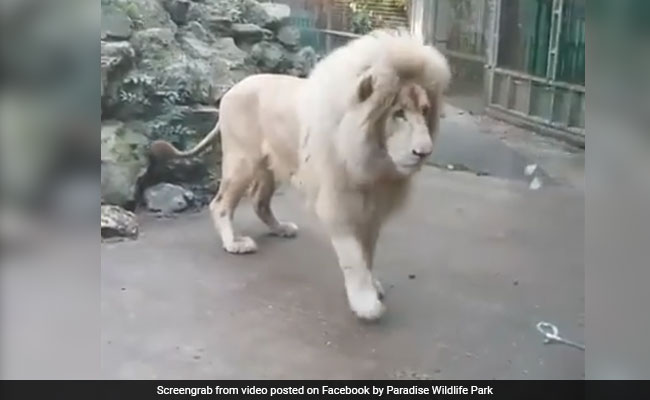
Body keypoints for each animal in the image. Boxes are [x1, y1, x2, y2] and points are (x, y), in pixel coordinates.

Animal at [149, 29, 448, 320]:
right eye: (398, 113)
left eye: (425, 111)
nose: (424, 152)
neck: (374, 160)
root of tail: (233, 88)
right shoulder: (338, 203)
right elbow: (353, 256)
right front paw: (365, 303)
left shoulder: (372, 207)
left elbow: (367, 253)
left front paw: (372, 286)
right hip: (243, 161)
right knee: (220, 203)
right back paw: (234, 243)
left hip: (271, 166)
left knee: (259, 201)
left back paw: (280, 229)